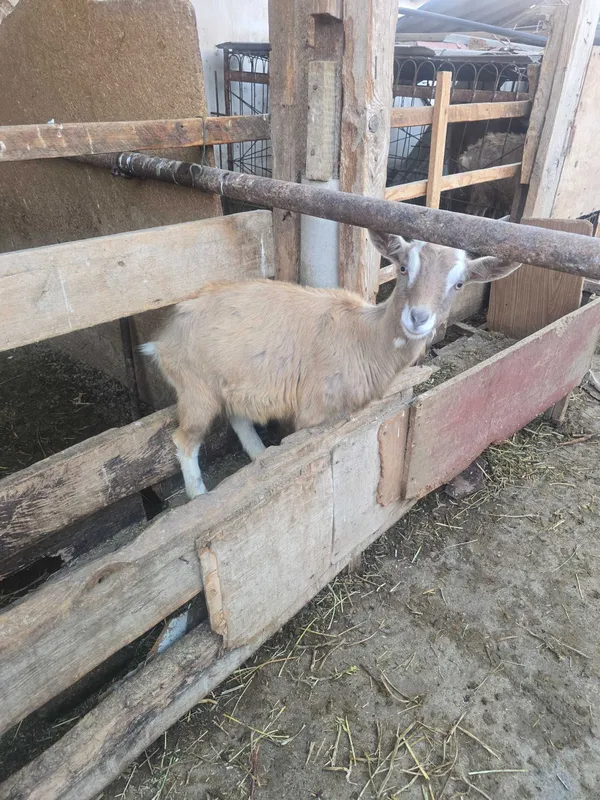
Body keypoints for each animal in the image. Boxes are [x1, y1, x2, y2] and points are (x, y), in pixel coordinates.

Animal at [141, 231, 519, 499]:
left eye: (459, 284)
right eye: (403, 268)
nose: (418, 318)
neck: (364, 336)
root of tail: (162, 339)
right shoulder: (314, 411)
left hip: (228, 382)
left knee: (237, 417)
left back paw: (261, 457)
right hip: (195, 387)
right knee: (184, 440)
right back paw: (199, 495)